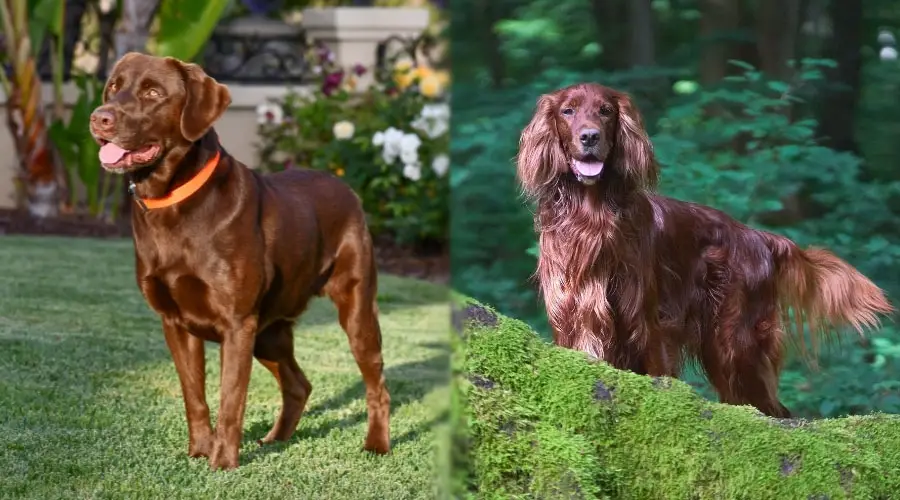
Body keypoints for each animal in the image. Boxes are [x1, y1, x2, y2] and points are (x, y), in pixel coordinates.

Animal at [516, 83, 896, 418]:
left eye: (605, 111)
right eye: (567, 111)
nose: (590, 137)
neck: (591, 214)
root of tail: (757, 236)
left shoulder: (647, 320)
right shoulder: (571, 315)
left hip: (735, 343)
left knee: (774, 408)